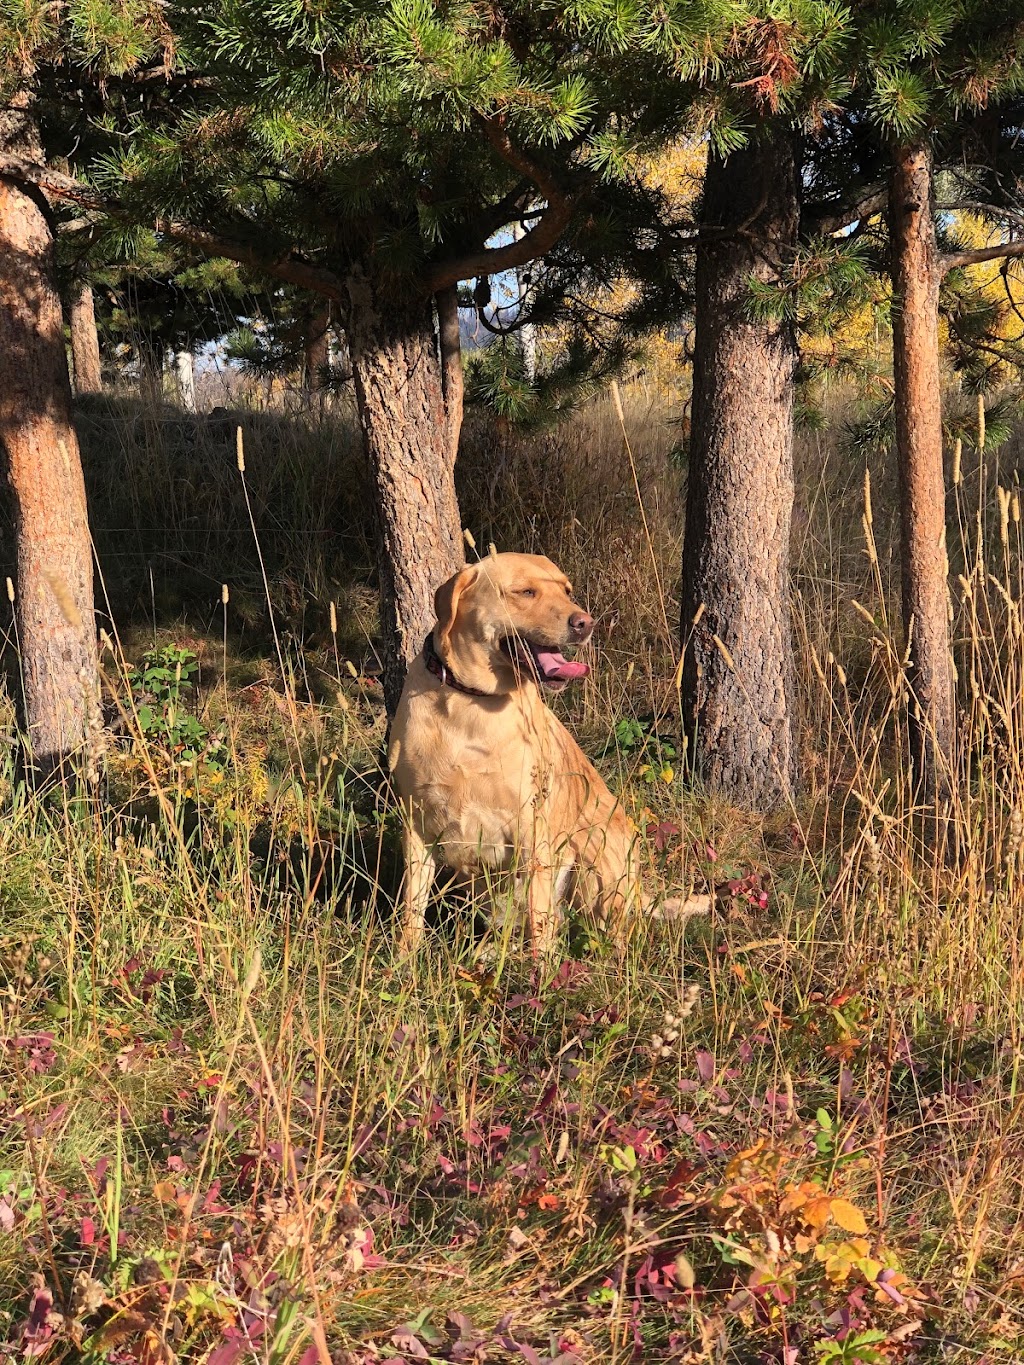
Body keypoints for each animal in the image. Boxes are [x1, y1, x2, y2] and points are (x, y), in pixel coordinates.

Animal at [387, 548, 704, 955]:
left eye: (566, 590)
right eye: (525, 592)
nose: (585, 623)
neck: (471, 703)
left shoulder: (531, 832)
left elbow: (540, 926)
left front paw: (541, 972)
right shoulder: (415, 825)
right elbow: (411, 911)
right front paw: (403, 961)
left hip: (594, 857)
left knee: (596, 928)